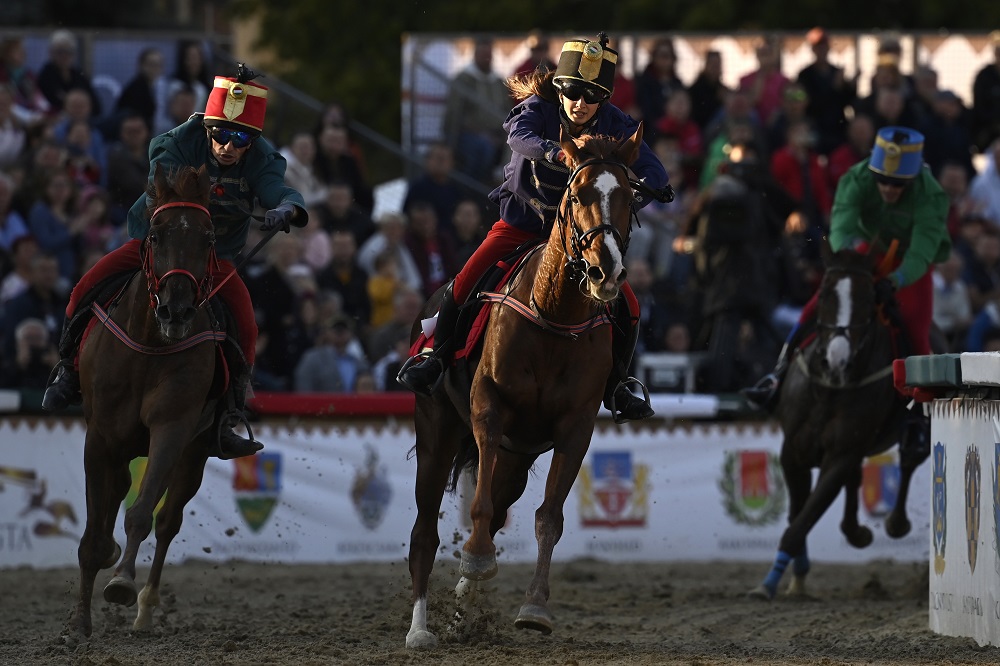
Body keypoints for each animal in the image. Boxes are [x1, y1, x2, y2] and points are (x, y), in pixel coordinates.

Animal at [69, 163, 228, 636]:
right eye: (156, 235)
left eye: (208, 238)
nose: (176, 310)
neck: (148, 345)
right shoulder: (100, 435)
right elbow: (92, 534)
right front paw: (79, 621)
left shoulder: (173, 428)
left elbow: (142, 513)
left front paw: (122, 581)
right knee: (119, 486)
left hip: (194, 452)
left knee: (167, 520)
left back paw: (144, 608)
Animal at [408, 124, 648, 644]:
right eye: (577, 195)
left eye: (628, 198)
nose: (606, 271)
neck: (554, 316)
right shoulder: (488, 407)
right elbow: (477, 509)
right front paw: (477, 561)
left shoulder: (575, 429)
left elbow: (549, 519)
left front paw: (535, 606)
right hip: (438, 430)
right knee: (425, 530)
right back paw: (420, 630)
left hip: (517, 458)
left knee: (499, 507)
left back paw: (464, 608)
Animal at [748, 246, 924, 600]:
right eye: (825, 293)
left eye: (868, 297)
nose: (836, 359)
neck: (830, 388)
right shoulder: (792, 451)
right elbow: (796, 514)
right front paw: (793, 576)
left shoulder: (841, 453)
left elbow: (802, 520)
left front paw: (772, 581)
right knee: (855, 480)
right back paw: (855, 531)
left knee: (910, 459)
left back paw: (894, 523)